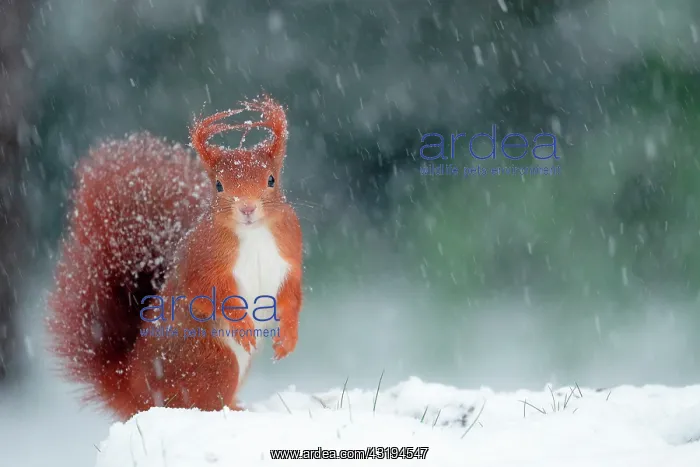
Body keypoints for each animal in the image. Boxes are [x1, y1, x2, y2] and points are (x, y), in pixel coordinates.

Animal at [47, 95, 303, 420]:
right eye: (218, 185)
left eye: (271, 179)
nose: (247, 208)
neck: (254, 234)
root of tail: (133, 390)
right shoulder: (203, 261)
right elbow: (209, 291)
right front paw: (243, 324)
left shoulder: (290, 256)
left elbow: (291, 297)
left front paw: (287, 339)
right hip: (216, 365)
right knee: (202, 402)